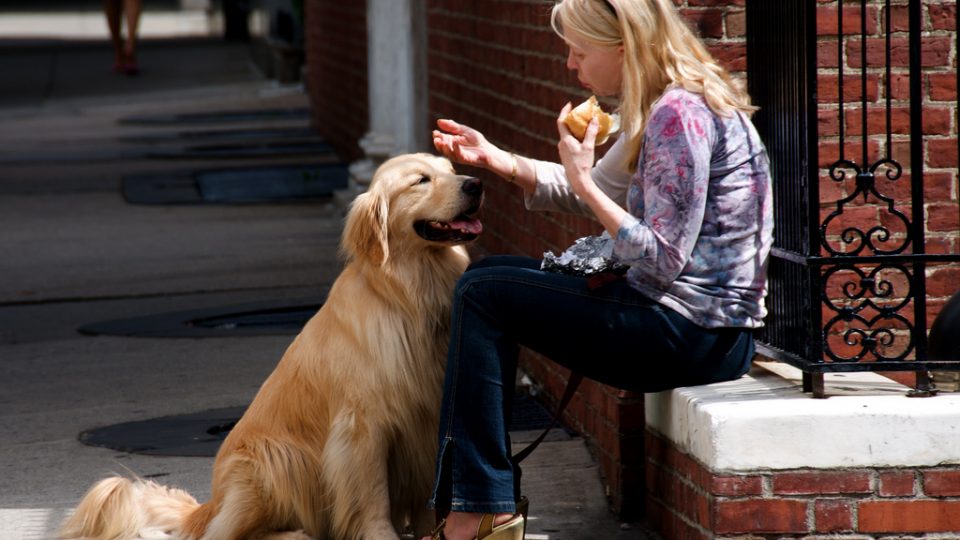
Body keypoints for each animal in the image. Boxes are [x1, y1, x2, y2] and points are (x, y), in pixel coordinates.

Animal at [59, 153, 480, 540]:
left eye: (451, 169)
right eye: (421, 180)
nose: (475, 184)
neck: (410, 294)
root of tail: (209, 506)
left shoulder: (429, 415)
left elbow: (429, 493)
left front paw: (433, 533)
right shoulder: (363, 424)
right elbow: (373, 494)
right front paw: (384, 535)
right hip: (274, 461)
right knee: (226, 535)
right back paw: (293, 534)